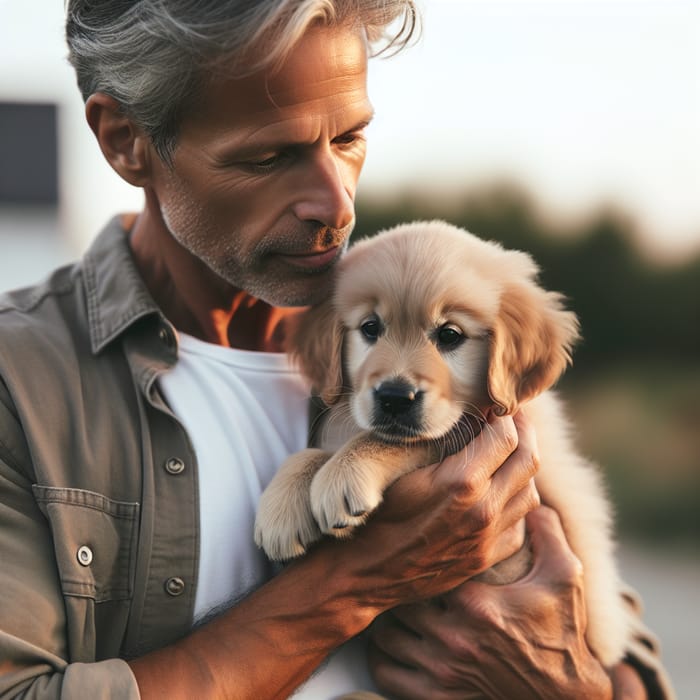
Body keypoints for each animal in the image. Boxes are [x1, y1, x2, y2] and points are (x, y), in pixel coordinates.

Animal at [256, 220, 628, 668]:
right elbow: (318, 451)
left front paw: (344, 473)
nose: (394, 398)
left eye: (450, 335)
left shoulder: (476, 431)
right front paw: (281, 509)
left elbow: (405, 441)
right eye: (370, 329)